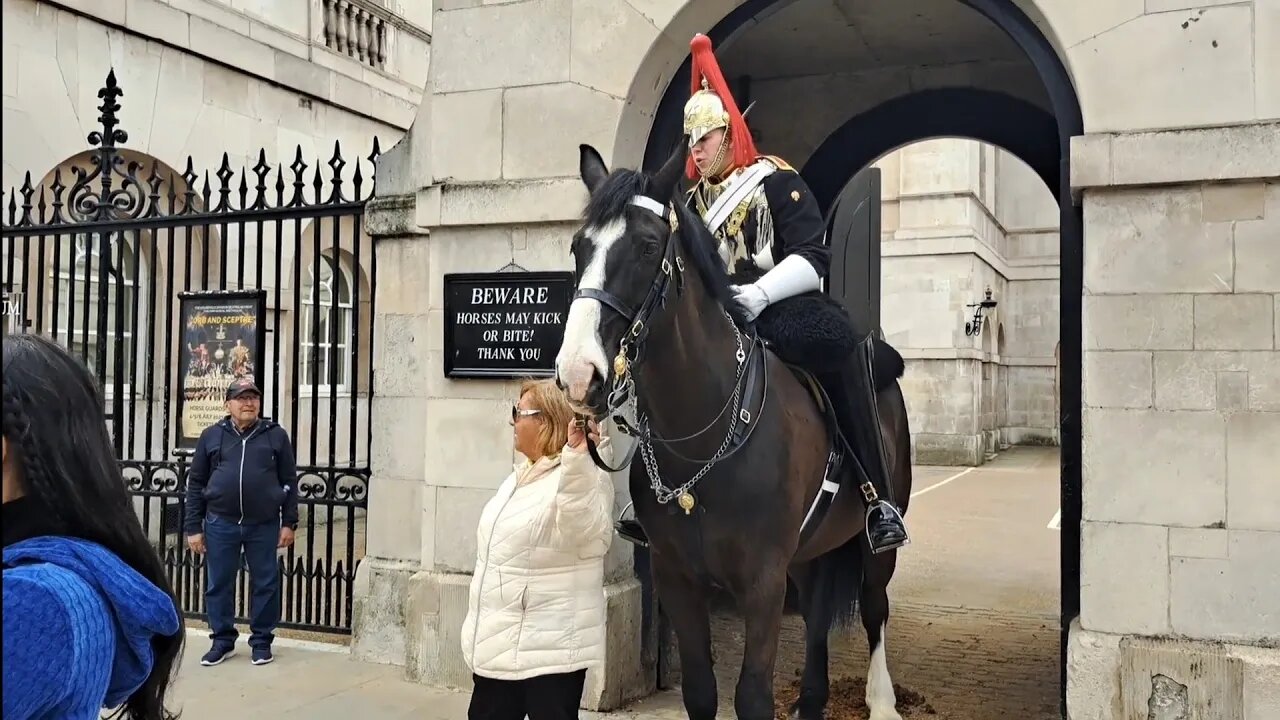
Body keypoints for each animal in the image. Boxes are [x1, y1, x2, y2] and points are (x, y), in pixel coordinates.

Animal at [555, 141, 916, 717]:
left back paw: (881, 700)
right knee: (817, 613)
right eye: (578, 246)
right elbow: (702, 691)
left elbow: (752, 695)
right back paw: (812, 699)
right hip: (809, 552)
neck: (703, 433)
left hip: (876, 535)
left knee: (875, 605)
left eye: (648, 246)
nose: (577, 373)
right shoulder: (678, 579)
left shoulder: (763, 582)